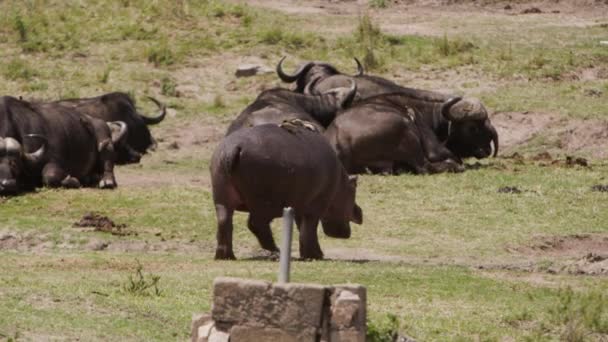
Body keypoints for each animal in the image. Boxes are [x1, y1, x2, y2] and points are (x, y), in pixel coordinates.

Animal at [210, 120, 360, 260]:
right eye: (354, 189)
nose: (360, 213)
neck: (341, 181)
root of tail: (234, 148)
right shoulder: (316, 205)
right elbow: (309, 229)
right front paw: (315, 255)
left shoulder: (300, 204)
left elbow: (302, 228)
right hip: (264, 203)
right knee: (256, 224)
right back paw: (277, 251)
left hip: (222, 198)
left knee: (224, 221)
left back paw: (225, 256)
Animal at [326, 93, 496, 174]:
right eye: (472, 127)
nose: (488, 149)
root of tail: (338, 140)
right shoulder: (435, 148)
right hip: (406, 129)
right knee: (425, 167)